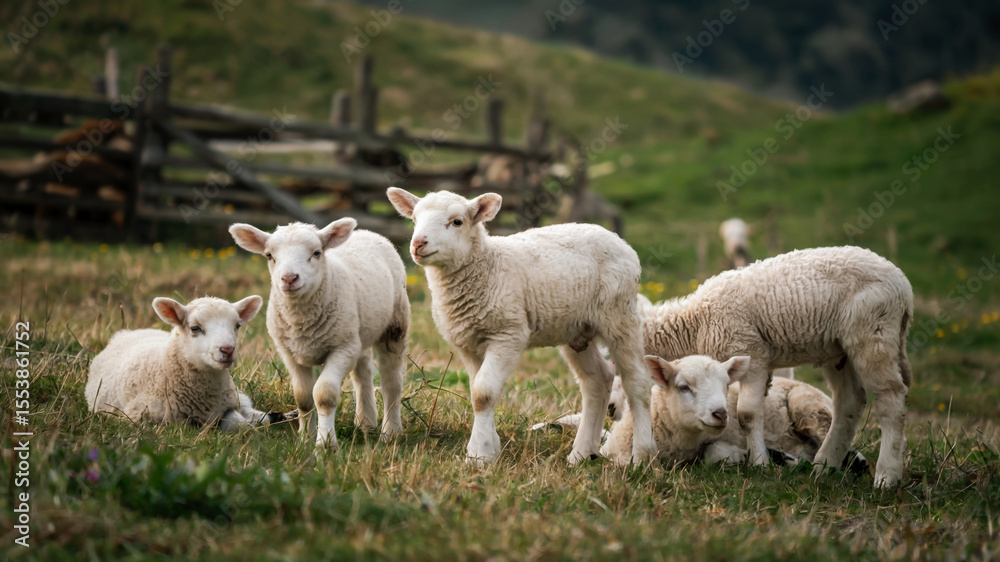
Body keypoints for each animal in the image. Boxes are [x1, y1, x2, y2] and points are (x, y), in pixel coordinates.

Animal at [86, 296, 293, 430]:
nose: (227, 350)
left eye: (237, 326)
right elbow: (236, 422)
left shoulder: (227, 403)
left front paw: (275, 417)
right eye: (195, 328)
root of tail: (128, 332)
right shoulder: (145, 418)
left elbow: (239, 418)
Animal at [229, 219, 410, 451]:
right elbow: (303, 397)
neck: (301, 321)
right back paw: (366, 422)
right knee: (363, 373)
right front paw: (305, 438)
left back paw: (390, 432)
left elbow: (324, 395)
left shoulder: (342, 349)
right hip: (356, 332)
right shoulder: (289, 352)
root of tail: (367, 232)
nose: (289, 278)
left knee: (391, 381)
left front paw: (325, 445)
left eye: (316, 253)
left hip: (394, 326)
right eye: (269, 255)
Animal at [386, 187, 656, 466]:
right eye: (414, 220)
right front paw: (489, 448)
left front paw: (478, 455)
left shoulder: (508, 334)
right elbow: (478, 392)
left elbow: (483, 393)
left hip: (619, 314)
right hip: (578, 329)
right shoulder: (468, 343)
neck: (486, 266)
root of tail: (618, 239)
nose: (418, 244)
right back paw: (581, 454)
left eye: (457, 221)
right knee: (598, 380)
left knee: (637, 382)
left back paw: (641, 456)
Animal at [641, 246, 912, 488]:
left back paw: (886, 477)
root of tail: (903, 285)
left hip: (873, 334)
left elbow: (747, 414)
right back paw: (823, 467)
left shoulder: (751, 352)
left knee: (890, 400)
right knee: (849, 402)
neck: (696, 322)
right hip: (840, 350)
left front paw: (760, 463)